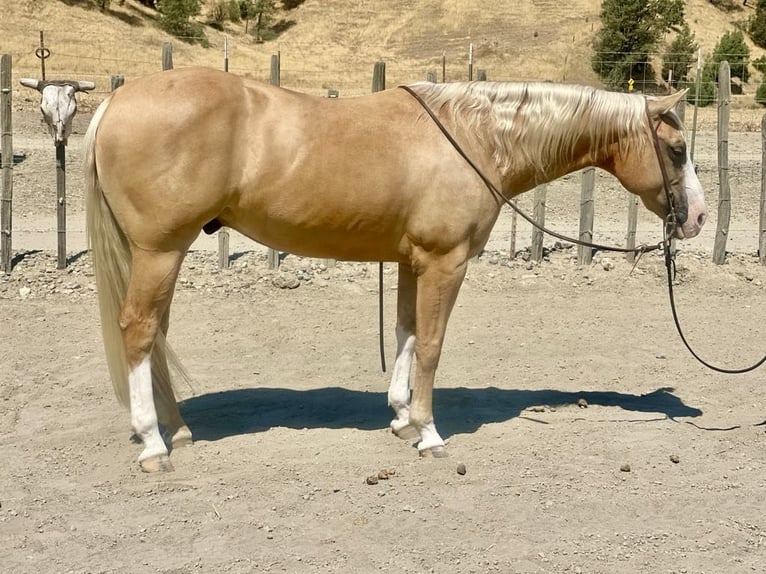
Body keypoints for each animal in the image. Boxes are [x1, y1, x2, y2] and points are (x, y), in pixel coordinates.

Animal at [84, 67, 708, 472]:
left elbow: (407, 333)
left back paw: (177, 430)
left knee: (156, 333)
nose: (698, 217)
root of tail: (116, 101)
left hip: (163, 255)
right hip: (160, 250)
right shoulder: (444, 262)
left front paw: (403, 418)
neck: (475, 137)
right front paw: (429, 434)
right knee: (139, 330)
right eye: (676, 150)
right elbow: (431, 344)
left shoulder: (413, 262)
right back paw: (153, 445)